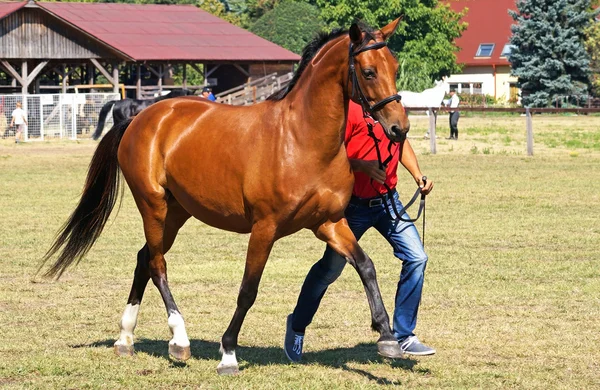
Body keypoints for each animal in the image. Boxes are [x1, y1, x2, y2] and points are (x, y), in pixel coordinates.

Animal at [41, 19, 408, 376]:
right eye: (369, 71)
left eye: (395, 66)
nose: (399, 128)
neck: (301, 139)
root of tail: (140, 117)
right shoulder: (265, 228)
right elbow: (248, 290)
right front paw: (228, 353)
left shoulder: (329, 223)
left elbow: (366, 266)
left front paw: (388, 338)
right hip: (153, 206)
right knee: (157, 264)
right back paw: (178, 340)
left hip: (176, 213)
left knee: (144, 258)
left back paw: (125, 338)